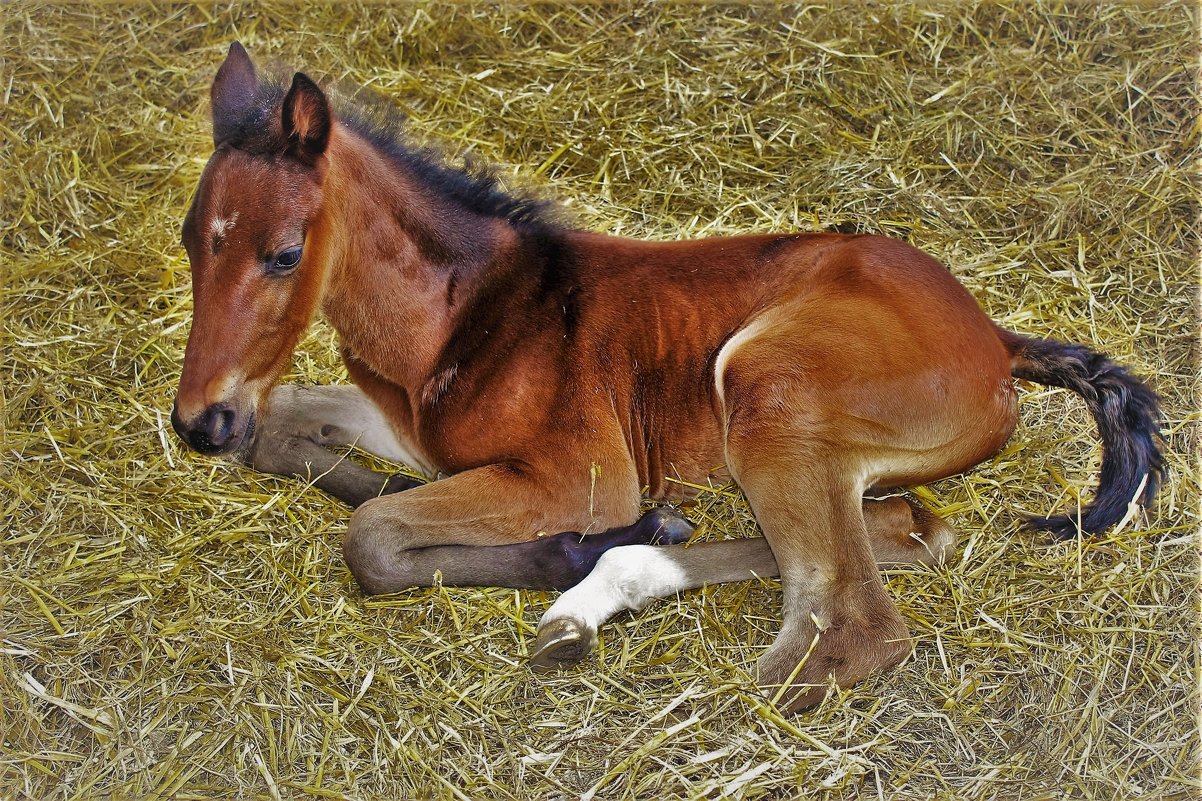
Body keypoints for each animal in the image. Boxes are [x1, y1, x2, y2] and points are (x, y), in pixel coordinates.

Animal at [171, 43, 1163, 707]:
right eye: (188, 239)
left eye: (284, 252)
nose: (196, 422)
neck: (468, 313)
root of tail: (995, 337)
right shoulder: (403, 425)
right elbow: (285, 436)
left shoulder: (581, 473)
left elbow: (373, 537)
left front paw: (565, 545)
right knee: (903, 529)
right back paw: (607, 586)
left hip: (765, 384)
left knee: (851, 622)